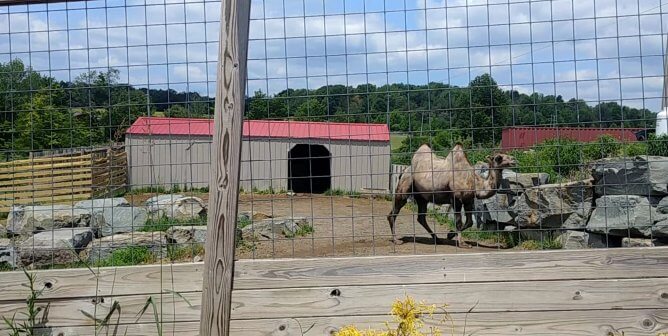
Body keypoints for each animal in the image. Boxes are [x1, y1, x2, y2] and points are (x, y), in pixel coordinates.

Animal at [386, 143, 516, 248]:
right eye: (499, 158)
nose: (514, 160)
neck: (474, 181)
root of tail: (404, 171)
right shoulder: (456, 199)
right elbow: (459, 221)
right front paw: (462, 243)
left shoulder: (468, 200)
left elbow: (469, 222)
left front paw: (450, 235)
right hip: (404, 188)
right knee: (393, 213)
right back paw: (397, 240)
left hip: (422, 197)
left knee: (421, 217)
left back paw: (437, 239)